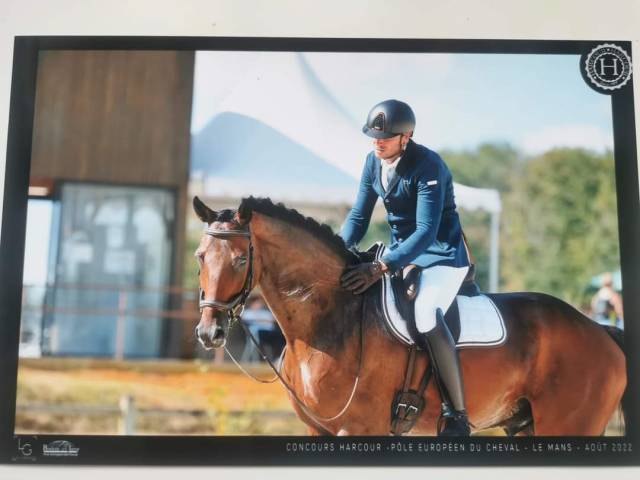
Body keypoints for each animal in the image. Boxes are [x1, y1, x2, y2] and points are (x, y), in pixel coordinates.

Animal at [192, 195, 627, 436]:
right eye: (200, 257)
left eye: (241, 259)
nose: (209, 332)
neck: (329, 319)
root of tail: (600, 330)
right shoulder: (317, 429)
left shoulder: (359, 428)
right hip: (525, 426)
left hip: (570, 425)